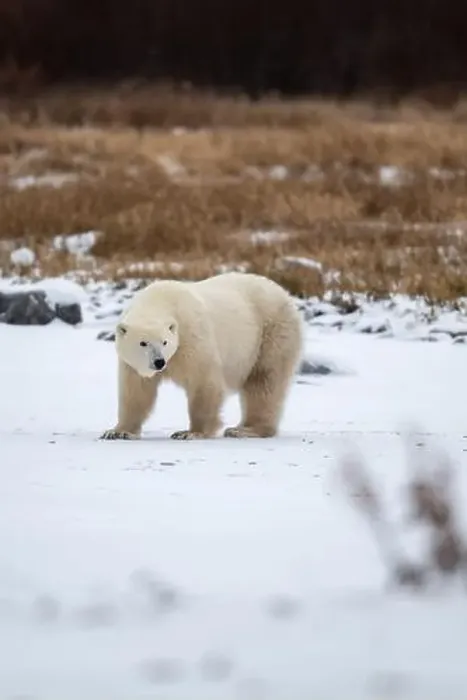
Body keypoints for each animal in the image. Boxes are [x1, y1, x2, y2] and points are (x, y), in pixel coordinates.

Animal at [100, 271, 304, 441]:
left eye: (165, 342)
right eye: (143, 343)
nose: (159, 362)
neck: (160, 300)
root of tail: (284, 293)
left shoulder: (192, 337)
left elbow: (204, 382)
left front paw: (190, 433)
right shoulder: (133, 364)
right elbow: (136, 391)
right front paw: (118, 431)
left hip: (271, 332)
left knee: (264, 382)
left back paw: (245, 430)